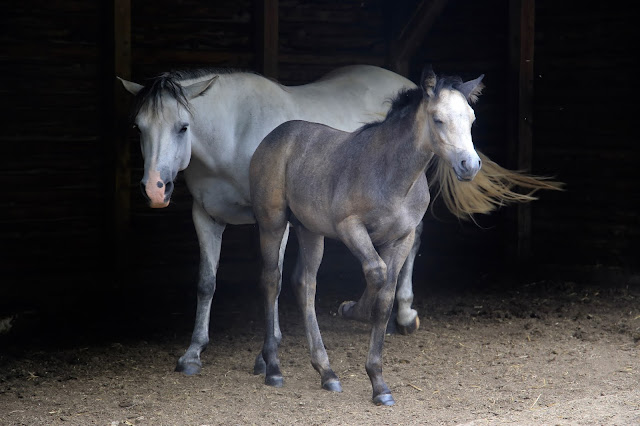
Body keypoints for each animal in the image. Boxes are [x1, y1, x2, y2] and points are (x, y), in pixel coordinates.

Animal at [120, 65, 560, 374]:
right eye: (138, 128)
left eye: (183, 126)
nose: (155, 189)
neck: (235, 131)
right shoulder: (206, 216)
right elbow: (206, 283)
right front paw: (193, 353)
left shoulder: (277, 220)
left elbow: (275, 277)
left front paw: (268, 351)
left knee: (412, 243)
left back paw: (403, 313)